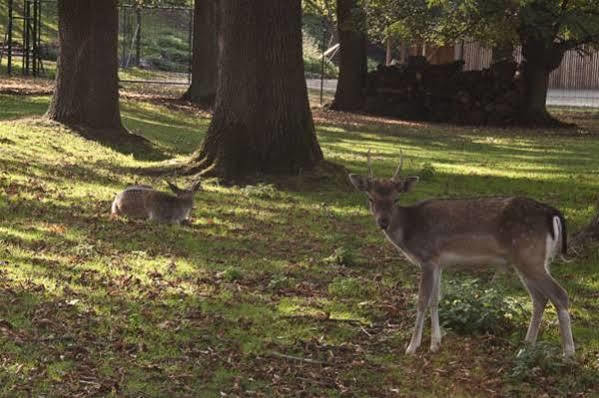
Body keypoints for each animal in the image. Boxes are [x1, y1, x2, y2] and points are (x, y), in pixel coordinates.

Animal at [350, 152, 576, 358]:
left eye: (396, 199)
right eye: (370, 198)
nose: (383, 222)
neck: (409, 232)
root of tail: (552, 212)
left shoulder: (427, 258)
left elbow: (422, 301)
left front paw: (412, 347)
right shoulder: (438, 263)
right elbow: (435, 299)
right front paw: (436, 343)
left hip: (529, 254)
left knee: (560, 294)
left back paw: (568, 354)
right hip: (533, 260)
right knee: (540, 298)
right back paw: (526, 346)